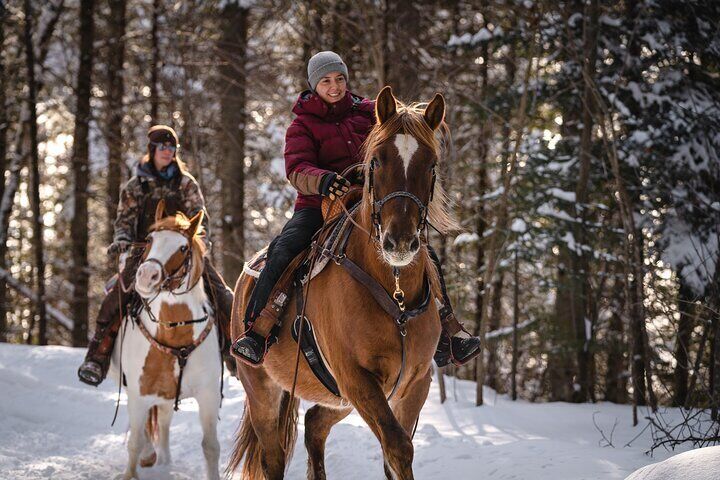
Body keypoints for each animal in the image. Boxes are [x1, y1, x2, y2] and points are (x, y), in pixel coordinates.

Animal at [108, 201, 222, 480]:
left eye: (183, 248)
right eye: (150, 239)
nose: (146, 275)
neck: (174, 334)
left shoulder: (208, 395)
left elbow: (210, 447)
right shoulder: (138, 394)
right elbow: (135, 442)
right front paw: (131, 471)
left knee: (163, 420)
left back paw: (164, 459)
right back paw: (151, 455)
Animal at [227, 86, 456, 480]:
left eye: (430, 165)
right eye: (376, 161)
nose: (399, 242)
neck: (394, 293)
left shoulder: (413, 383)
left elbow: (395, 453)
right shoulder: (357, 378)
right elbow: (397, 447)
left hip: (339, 399)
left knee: (315, 424)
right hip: (262, 390)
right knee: (273, 457)